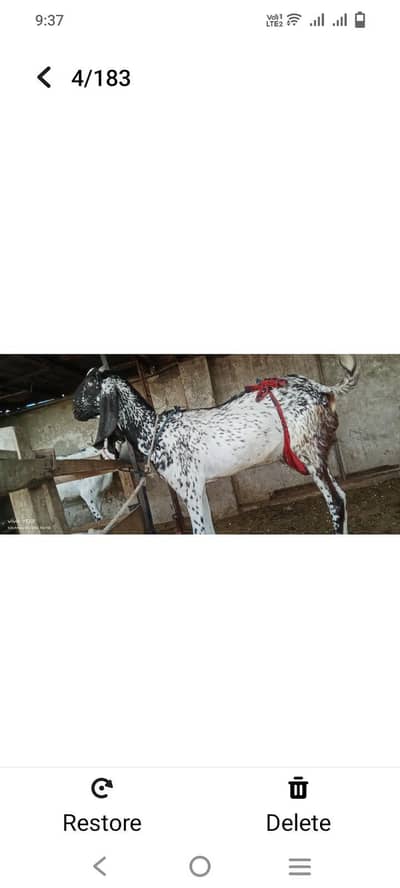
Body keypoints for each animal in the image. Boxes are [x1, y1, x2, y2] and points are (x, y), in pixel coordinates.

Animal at [72, 357, 359, 534]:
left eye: (89, 384)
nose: (74, 410)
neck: (155, 431)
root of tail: (322, 389)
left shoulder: (188, 488)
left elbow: (199, 531)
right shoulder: (198, 489)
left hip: (308, 452)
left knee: (336, 502)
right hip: (317, 453)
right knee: (342, 496)